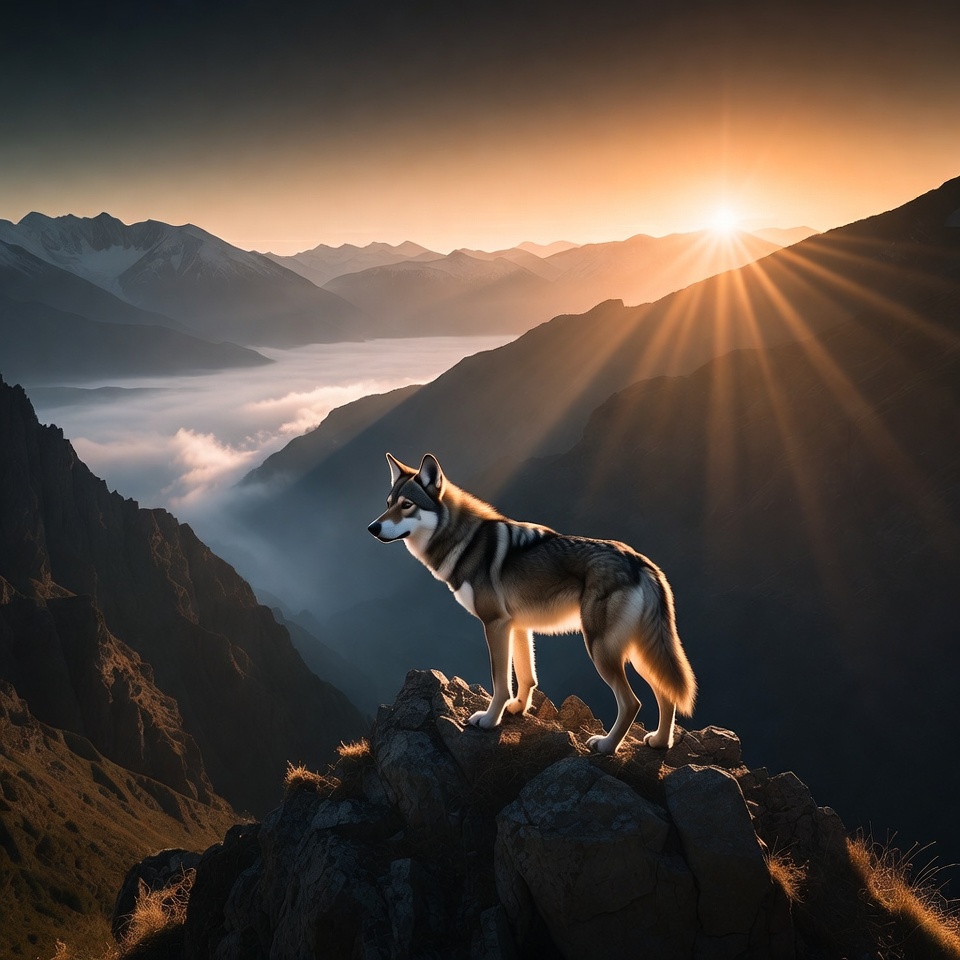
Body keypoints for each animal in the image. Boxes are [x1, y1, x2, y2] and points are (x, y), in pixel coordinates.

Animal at [367, 453, 696, 753]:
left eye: (406, 505)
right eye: (388, 504)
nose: (372, 528)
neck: (465, 542)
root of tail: (641, 563)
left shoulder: (495, 624)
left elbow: (500, 682)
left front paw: (490, 720)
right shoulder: (518, 626)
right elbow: (526, 677)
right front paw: (517, 709)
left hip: (601, 649)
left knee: (632, 703)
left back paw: (606, 745)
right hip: (636, 652)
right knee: (666, 695)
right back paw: (660, 742)